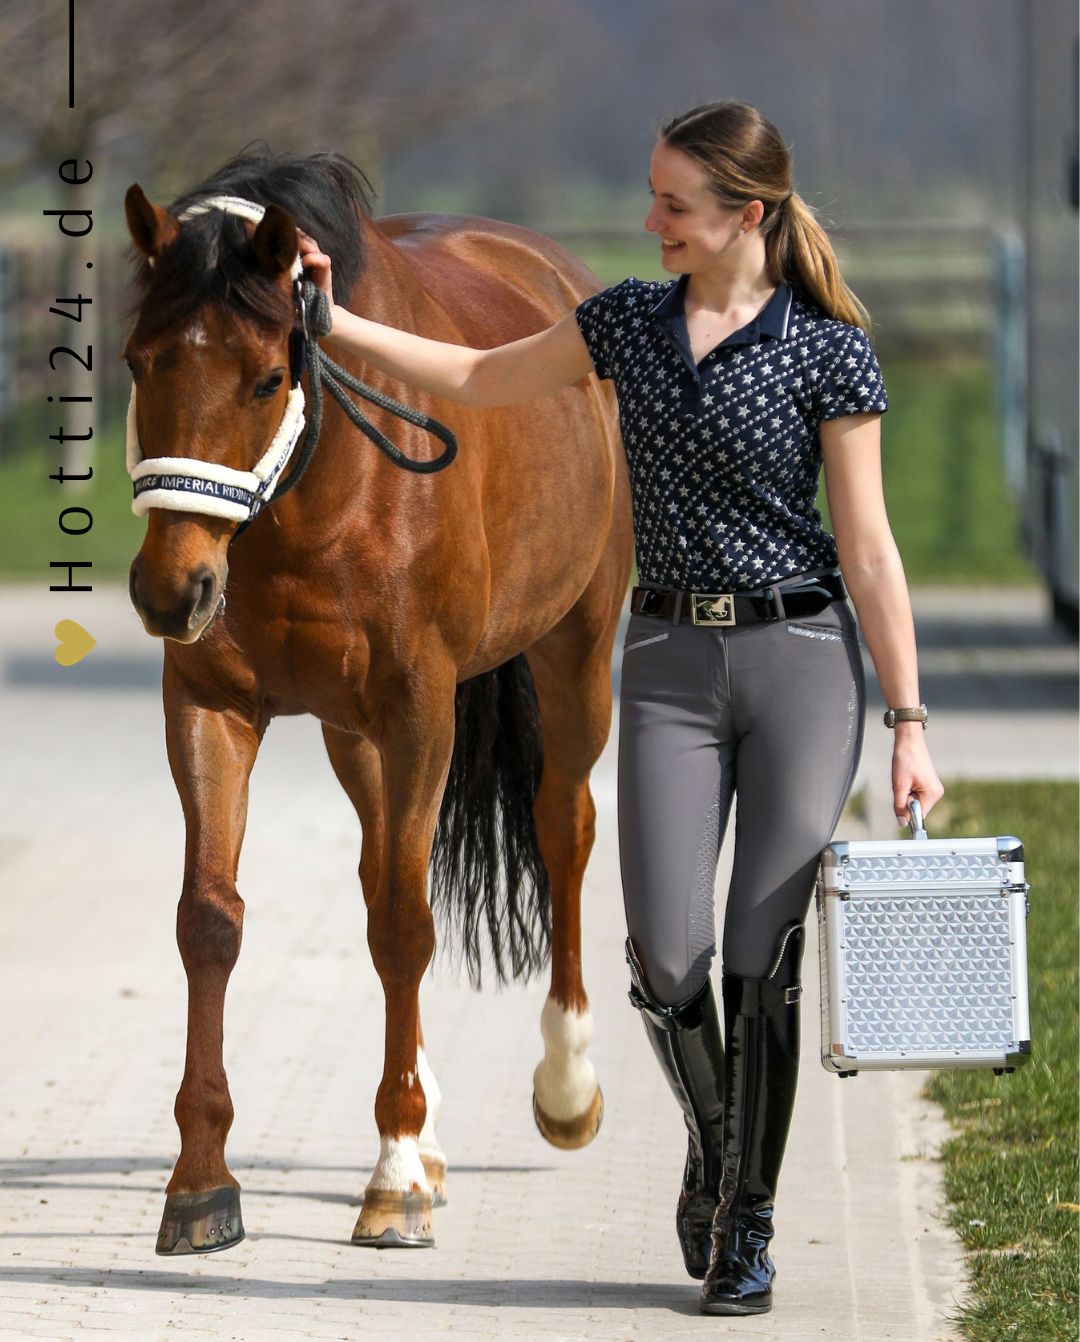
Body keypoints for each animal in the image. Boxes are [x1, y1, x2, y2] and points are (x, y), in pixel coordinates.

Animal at [122, 149, 633, 1255]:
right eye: (139, 364)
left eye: (267, 377)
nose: (171, 591)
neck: (319, 492)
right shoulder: (213, 708)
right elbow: (210, 920)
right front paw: (200, 1183)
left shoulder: (418, 711)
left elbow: (407, 923)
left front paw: (393, 1176)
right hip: (352, 737)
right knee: (374, 874)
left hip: (573, 657)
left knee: (563, 827)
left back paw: (566, 1087)